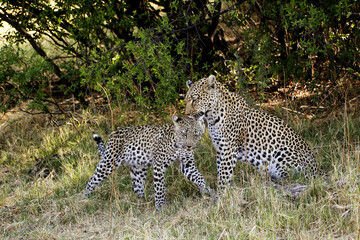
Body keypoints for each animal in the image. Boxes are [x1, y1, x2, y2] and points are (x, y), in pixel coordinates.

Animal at [83, 115, 211, 210]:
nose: (189, 146)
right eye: (184, 134)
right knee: (92, 178)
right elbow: (159, 186)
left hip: (138, 167)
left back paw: (146, 199)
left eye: (196, 134)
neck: (178, 145)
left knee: (136, 187)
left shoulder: (187, 164)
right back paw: (85, 198)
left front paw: (207, 190)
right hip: (110, 162)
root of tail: (114, 131)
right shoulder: (159, 165)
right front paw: (160, 206)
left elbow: (200, 177)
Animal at [186, 75, 318, 189]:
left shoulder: (228, 149)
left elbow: (224, 175)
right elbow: (220, 172)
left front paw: (221, 195)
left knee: (293, 178)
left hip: (282, 153)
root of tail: (317, 171)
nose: (186, 114)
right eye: (186, 100)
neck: (212, 116)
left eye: (194, 100)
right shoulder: (220, 149)